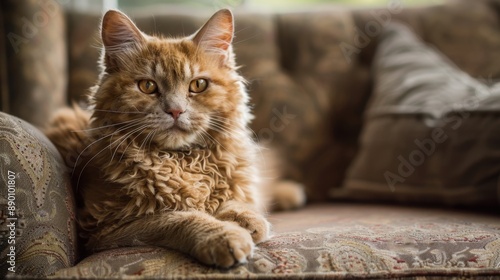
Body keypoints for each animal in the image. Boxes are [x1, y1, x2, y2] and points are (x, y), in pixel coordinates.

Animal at [46, 9, 304, 266]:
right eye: (147, 86)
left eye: (198, 85)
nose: (175, 110)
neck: (181, 161)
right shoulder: (107, 228)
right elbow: (179, 218)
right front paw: (223, 235)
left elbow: (235, 199)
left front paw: (246, 218)